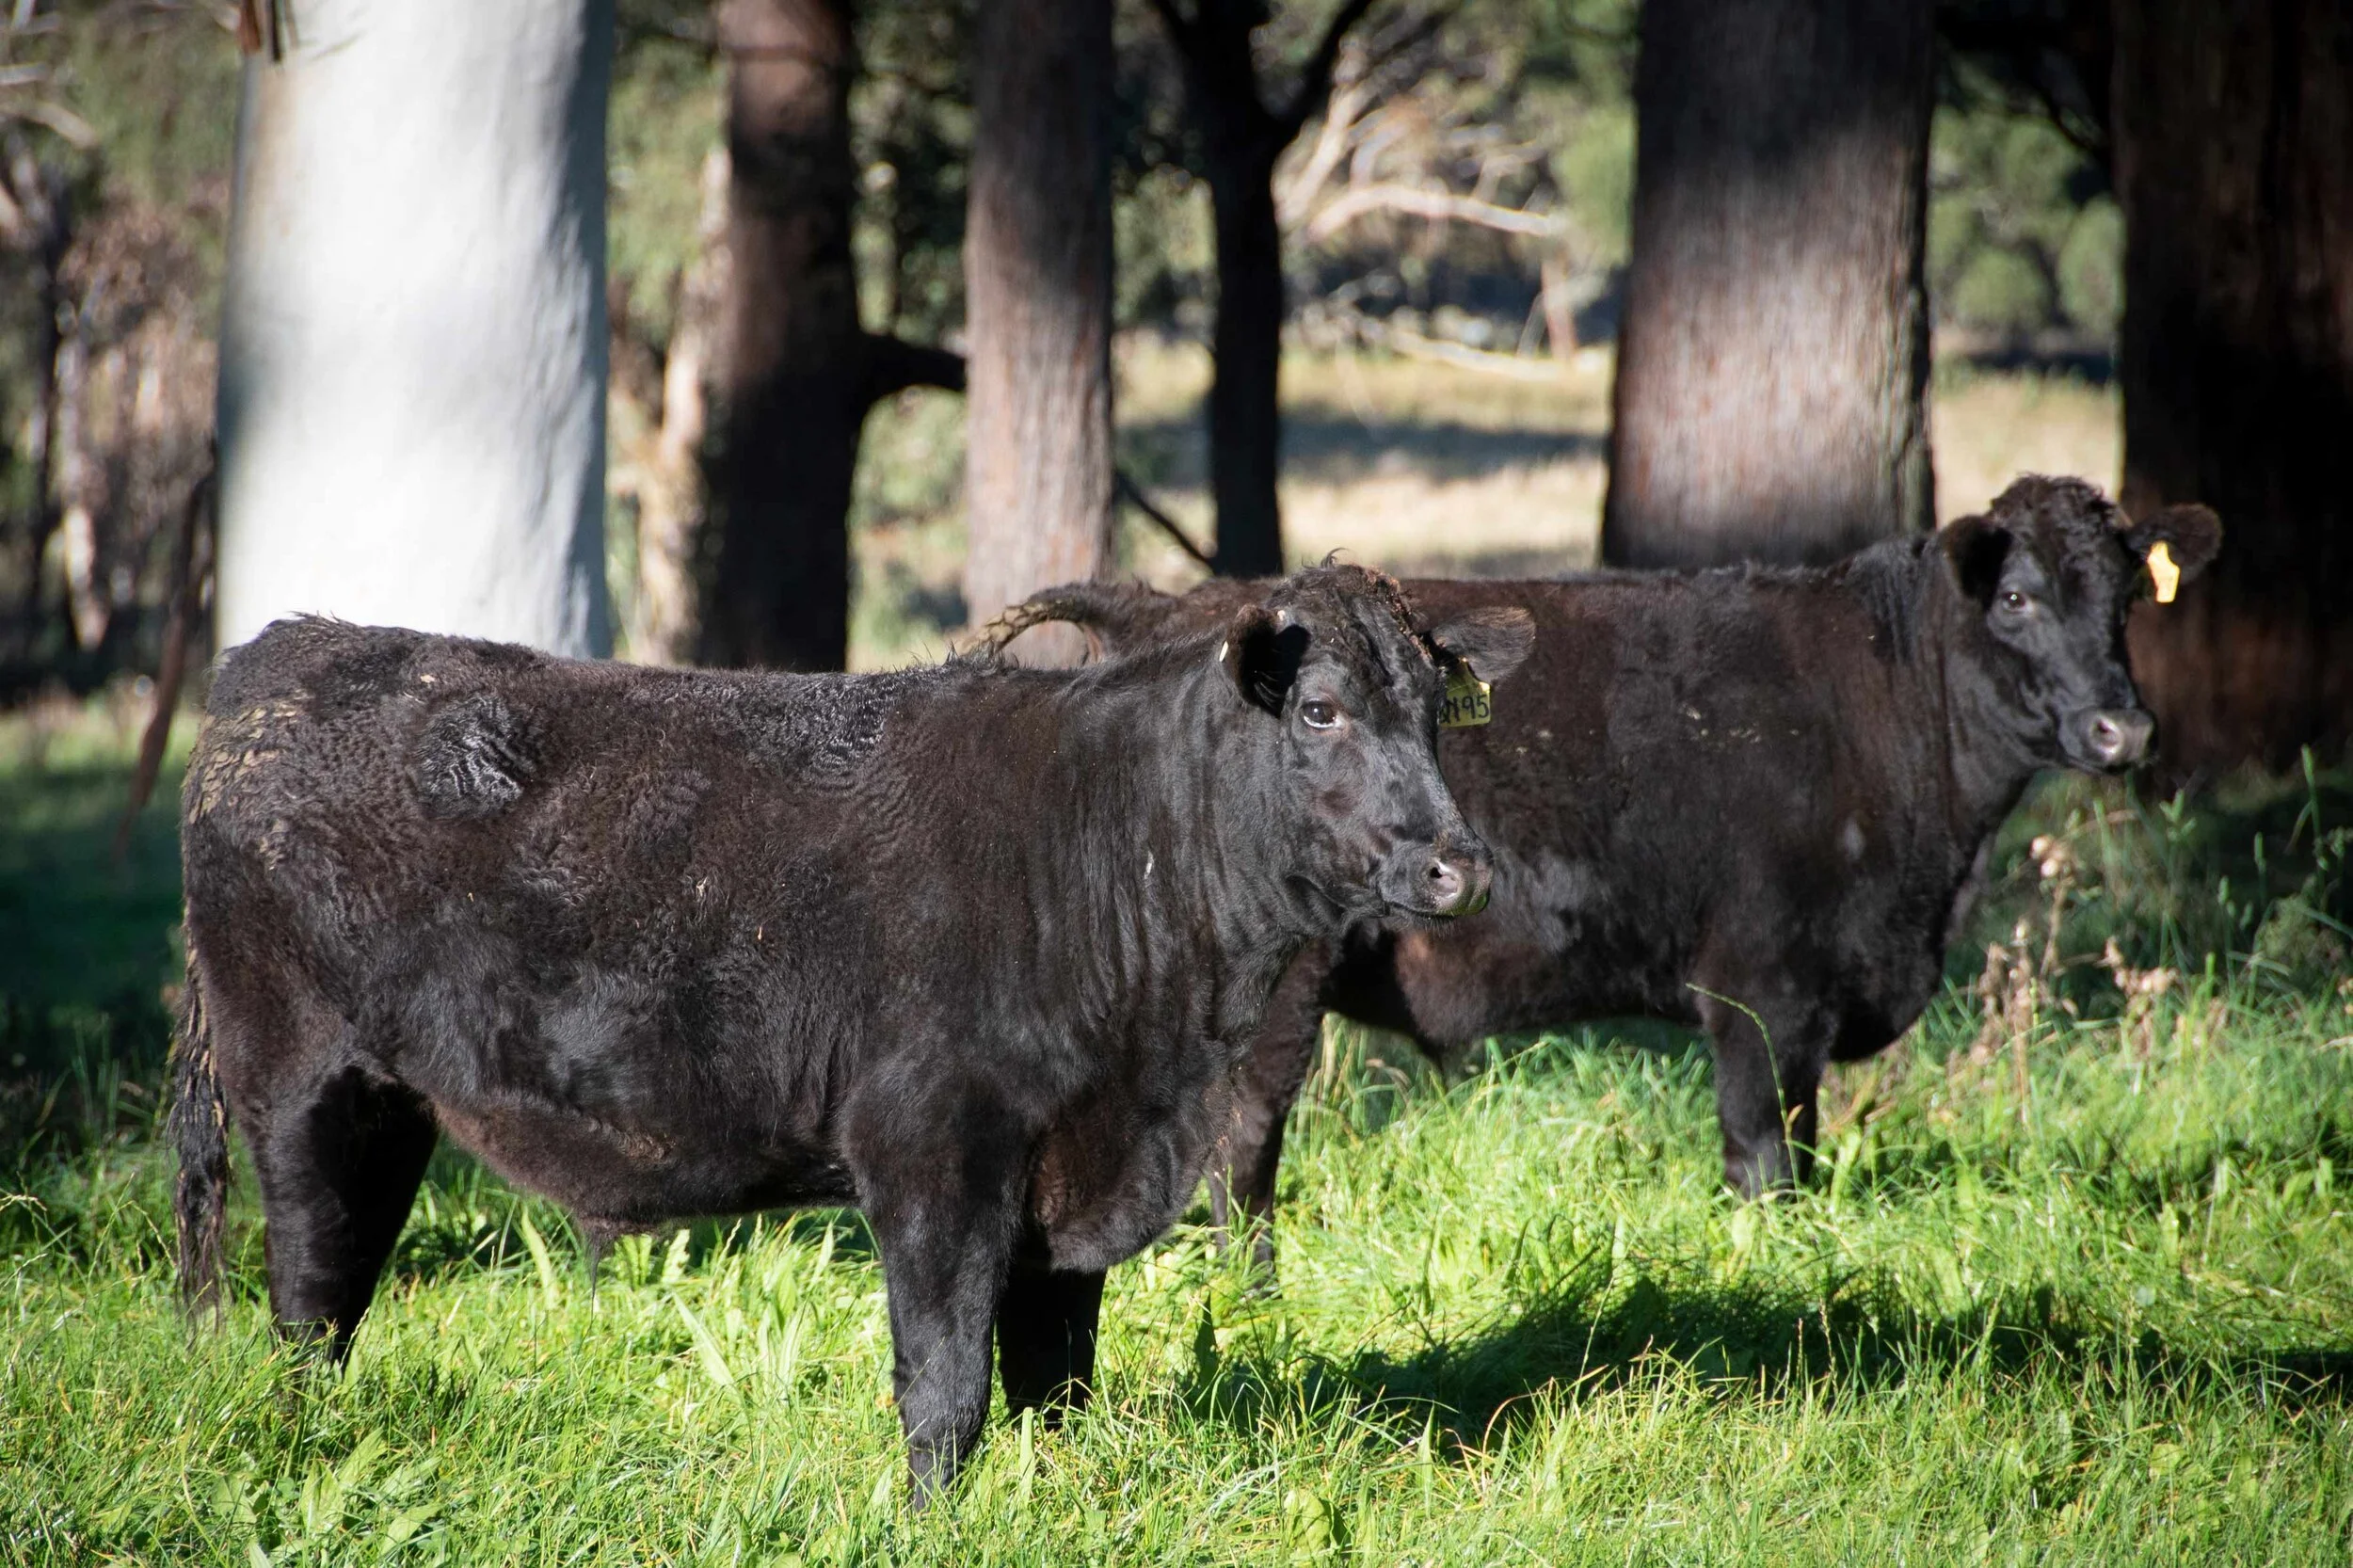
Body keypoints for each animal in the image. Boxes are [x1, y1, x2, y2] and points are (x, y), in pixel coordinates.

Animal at [168, 564, 1535, 1500]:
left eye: (1435, 710)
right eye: (1320, 710)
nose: (1457, 867)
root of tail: (279, 657)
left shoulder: (1072, 1169)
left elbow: (1057, 1375)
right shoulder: (932, 1145)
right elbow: (945, 1381)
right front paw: (934, 1516)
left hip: (389, 1100)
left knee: (340, 1288)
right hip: (298, 1080)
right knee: (306, 1287)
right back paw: (304, 1434)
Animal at [999, 477, 2222, 1261]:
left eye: (2125, 598)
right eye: (2015, 597)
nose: (2122, 729)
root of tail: (1173, 602)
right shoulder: (1762, 990)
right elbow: (1765, 1164)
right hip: (1267, 1003)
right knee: (1238, 1153)